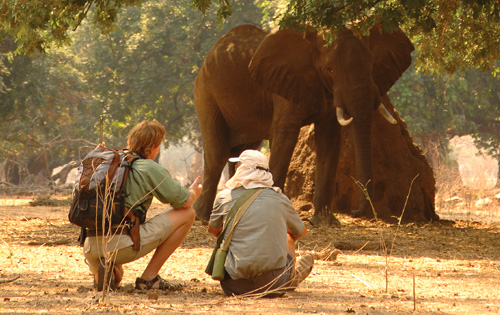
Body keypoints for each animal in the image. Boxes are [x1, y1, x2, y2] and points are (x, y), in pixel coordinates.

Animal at [193, 23, 416, 226]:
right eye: (330, 70)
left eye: (372, 66)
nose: (356, 212)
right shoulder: (284, 83)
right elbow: (285, 136)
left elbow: (329, 139)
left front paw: (325, 223)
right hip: (205, 93)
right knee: (217, 154)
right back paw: (202, 217)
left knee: (243, 152)